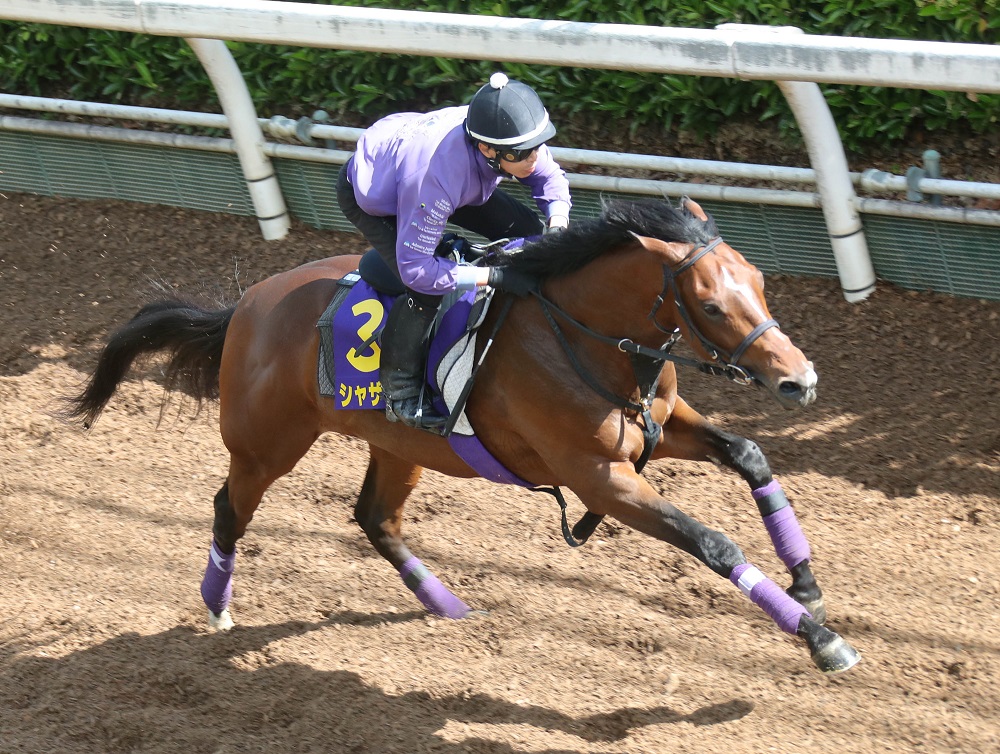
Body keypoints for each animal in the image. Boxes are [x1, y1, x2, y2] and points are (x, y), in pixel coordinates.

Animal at [66, 197, 860, 672]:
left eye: (759, 281)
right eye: (711, 306)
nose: (799, 380)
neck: (583, 337)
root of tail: (247, 308)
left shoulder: (660, 429)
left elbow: (749, 454)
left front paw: (807, 582)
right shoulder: (599, 477)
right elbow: (713, 541)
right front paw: (819, 638)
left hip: (399, 446)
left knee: (375, 518)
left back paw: (446, 604)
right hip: (267, 443)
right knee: (230, 508)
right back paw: (218, 606)